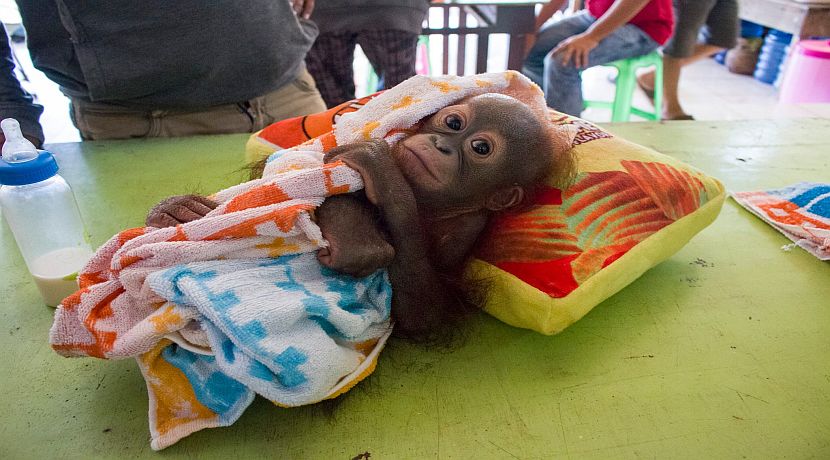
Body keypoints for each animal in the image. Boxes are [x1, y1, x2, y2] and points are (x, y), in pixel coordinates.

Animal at [147, 93, 573, 341]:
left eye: (480, 148)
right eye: (453, 122)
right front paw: (177, 208)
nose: (441, 145)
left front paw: (378, 175)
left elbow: (422, 314)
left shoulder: (467, 231)